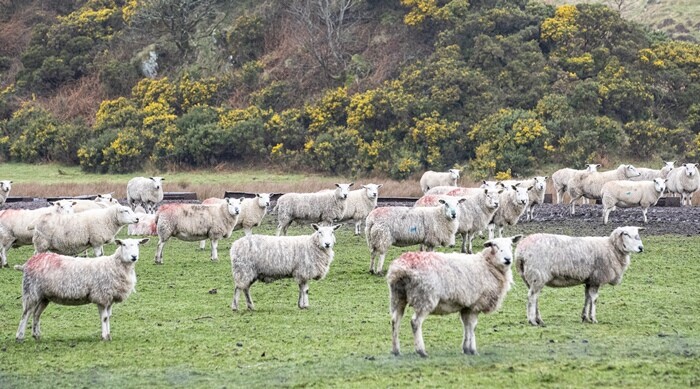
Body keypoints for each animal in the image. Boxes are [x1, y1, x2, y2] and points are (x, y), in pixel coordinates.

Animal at [16, 236, 150, 340]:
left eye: (138, 244)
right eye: (123, 244)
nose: (134, 257)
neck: (114, 265)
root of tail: (27, 264)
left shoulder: (109, 298)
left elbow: (108, 317)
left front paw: (108, 335)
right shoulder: (101, 296)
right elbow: (104, 317)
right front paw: (105, 336)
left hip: (44, 296)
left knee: (36, 314)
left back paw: (36, 335)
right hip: (31, 291)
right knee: (26, 313)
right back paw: (19, 336)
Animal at [386, 233, 524, 358]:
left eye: (511, 245)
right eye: (494, 245)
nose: (508, 259)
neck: (487, 265)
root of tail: (401, 269)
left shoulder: (466, 306)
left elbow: (466, 325)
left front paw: (466, 348)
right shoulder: (475, 304)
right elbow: (472, 326)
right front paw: (473, 350)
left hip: (398, 296)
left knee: (395, 320)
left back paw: (396, 350)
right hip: (425, 297)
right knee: (415, 322)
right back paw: (421, 351)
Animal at [516, 226, 644, 326]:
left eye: (637, 234)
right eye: (626, 234)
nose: (641, 248)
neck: (611, 248)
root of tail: (521, 251)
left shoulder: (590, 280)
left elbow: (587, 298)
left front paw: (585, 317)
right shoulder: (596, 278)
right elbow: (594, 299)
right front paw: (593, 318)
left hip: (529, 277)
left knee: (534, 297)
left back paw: (539, 320)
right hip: (538, 274)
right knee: (532, 297)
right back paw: (532, 321)